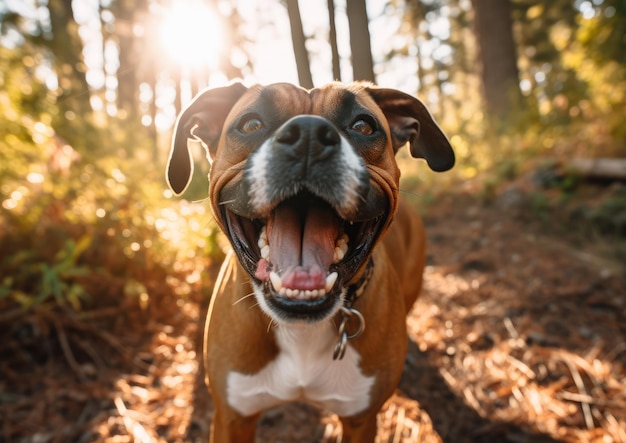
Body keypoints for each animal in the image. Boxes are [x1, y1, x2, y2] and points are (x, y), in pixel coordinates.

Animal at [163, 81, 450, 442]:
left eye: (363, 126)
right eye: (251, 124)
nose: (310, 134)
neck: (301, 329)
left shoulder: (360, 420)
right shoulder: (232, 418)